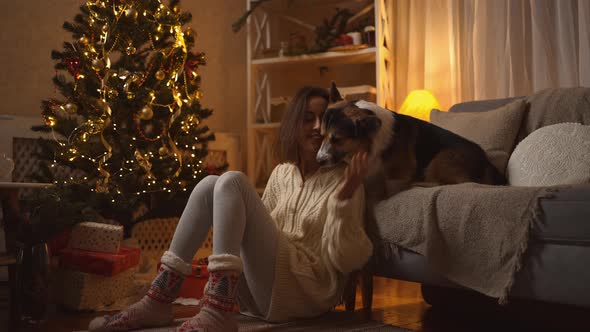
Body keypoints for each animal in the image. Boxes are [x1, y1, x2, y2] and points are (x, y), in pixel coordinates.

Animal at [316, 84, 506, 201]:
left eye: (337, 139)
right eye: (321, 135)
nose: (318, 161)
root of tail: (486, 162)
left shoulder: (395, 179)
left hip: (440, 159)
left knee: (459, 182)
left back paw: (419, 183)